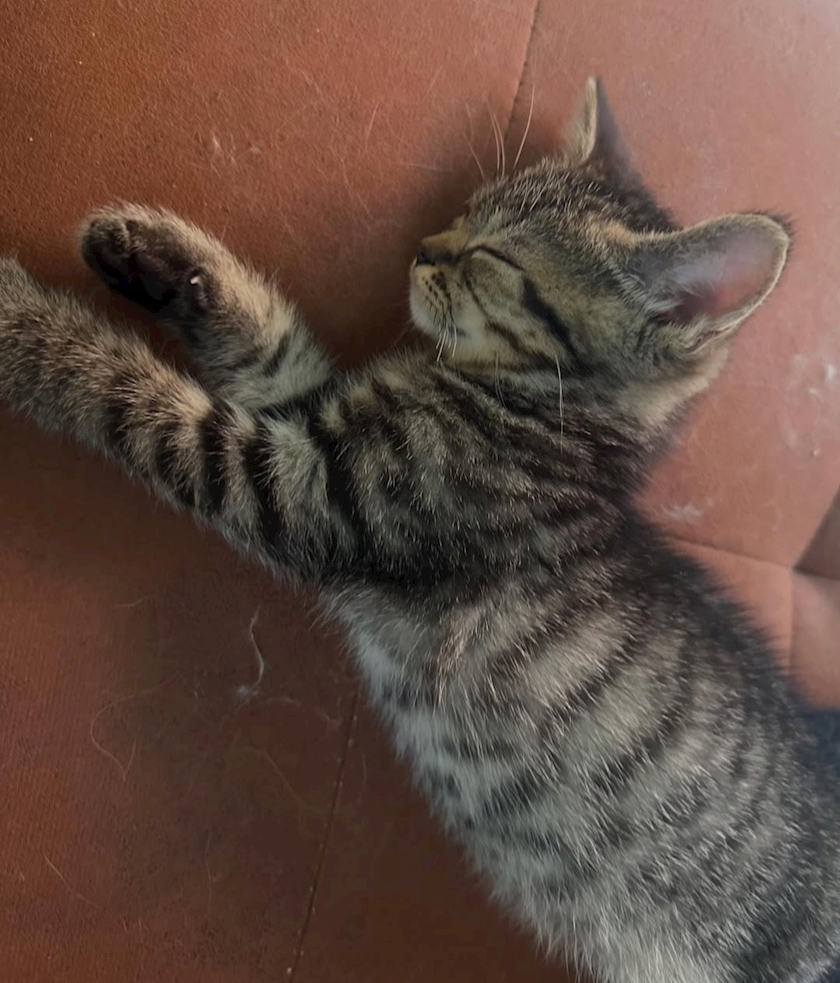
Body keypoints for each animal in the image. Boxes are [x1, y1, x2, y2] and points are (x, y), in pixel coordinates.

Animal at [0, 78, 838, 983]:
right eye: (469, 210)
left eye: (494, 258)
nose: (423, 247)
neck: (550, 418)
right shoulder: (315, 427)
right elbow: (269, 342)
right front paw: (162, 259)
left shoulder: (314, 490)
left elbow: (140, 399)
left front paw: (23, 323)